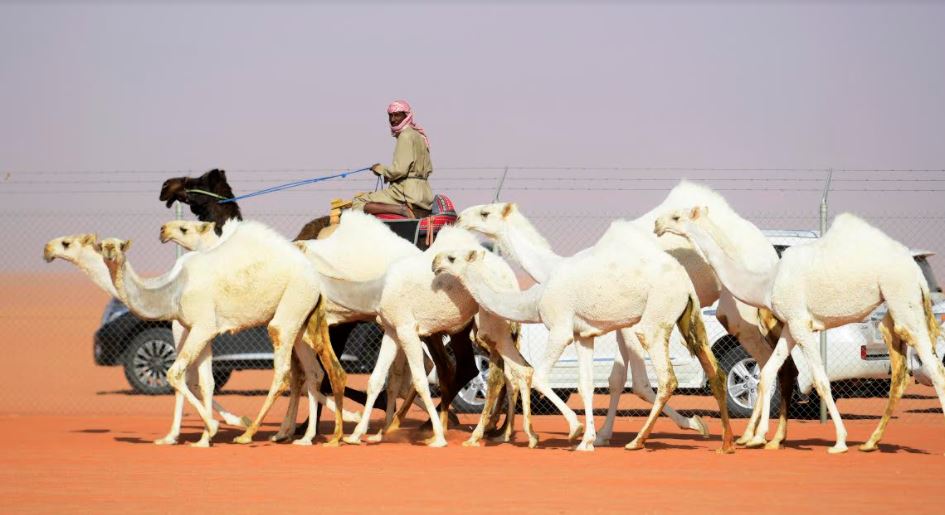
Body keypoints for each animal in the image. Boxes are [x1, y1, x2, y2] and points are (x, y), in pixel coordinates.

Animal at [42, 232, 251, 442]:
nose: (47, 249)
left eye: (66, 243)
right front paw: (229, 423)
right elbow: (198, 381)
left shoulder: (183, 328)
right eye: (101, 246)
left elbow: (186, 379)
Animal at [97, 220, 346, 450]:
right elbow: (206, 381)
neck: (173, 290)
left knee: (283, 370)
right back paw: (308, 438)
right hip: (302, 321)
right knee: (316, 372)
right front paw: (202, 439)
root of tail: (316, 279)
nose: (163, 229)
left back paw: (249, 434)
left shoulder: (202, 325)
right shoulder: (200, 329)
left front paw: (212, 428)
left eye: (119, 246)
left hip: (291, 306)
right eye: (100, 245)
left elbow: (175, 373)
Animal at [432, 222, 732, 452]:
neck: (534, 299)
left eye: (452, 258)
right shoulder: (583, 335)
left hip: (655, 319)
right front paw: (587, 440)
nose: (434, 264)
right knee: (715, 372)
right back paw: (723, 442)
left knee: (667, 379)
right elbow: (585, 384)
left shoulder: (560, 329)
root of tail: (686, 284)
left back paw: (638, 440)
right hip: (685, 318)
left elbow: (539, 376)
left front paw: (575, 430)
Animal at [656, 208, 944, 454]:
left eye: (677, 216)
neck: (766, 282)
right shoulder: (791, 325)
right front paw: (760, 438)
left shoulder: (801, 325)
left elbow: (821, 380)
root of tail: (916, 271)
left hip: (902, 298)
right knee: (902, 373)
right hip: (894, 313)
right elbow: (769, 371)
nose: (657, 224)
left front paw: (839, 441)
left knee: (934, 367)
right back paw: (870, 442)